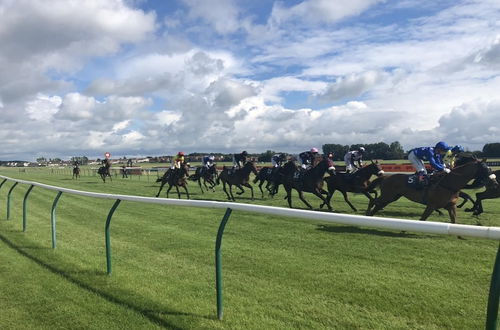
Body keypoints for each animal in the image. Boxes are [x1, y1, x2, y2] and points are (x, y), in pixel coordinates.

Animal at [366, 159, 498, 223]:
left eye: (490, 168)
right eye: (485, 169)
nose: (495, 183)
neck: (448, 184)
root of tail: (385, 177)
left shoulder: (451, 206)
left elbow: (454, 221)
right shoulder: (431, 205)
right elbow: (422, 219)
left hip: (393, 197)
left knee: (377, 205)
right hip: (388, 196)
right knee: (374, 201)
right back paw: (367, 213)